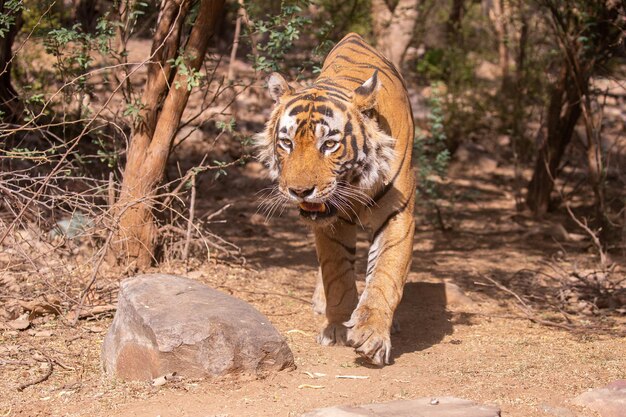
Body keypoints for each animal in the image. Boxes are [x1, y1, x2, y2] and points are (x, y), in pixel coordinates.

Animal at [255, 32, 414, 364]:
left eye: (329, 144)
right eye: (286, 143)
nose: (299, 191)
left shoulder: (398, 214)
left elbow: (385, 275)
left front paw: (372, 335)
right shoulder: (332, 222)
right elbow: (336, 273)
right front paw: (339, 327)